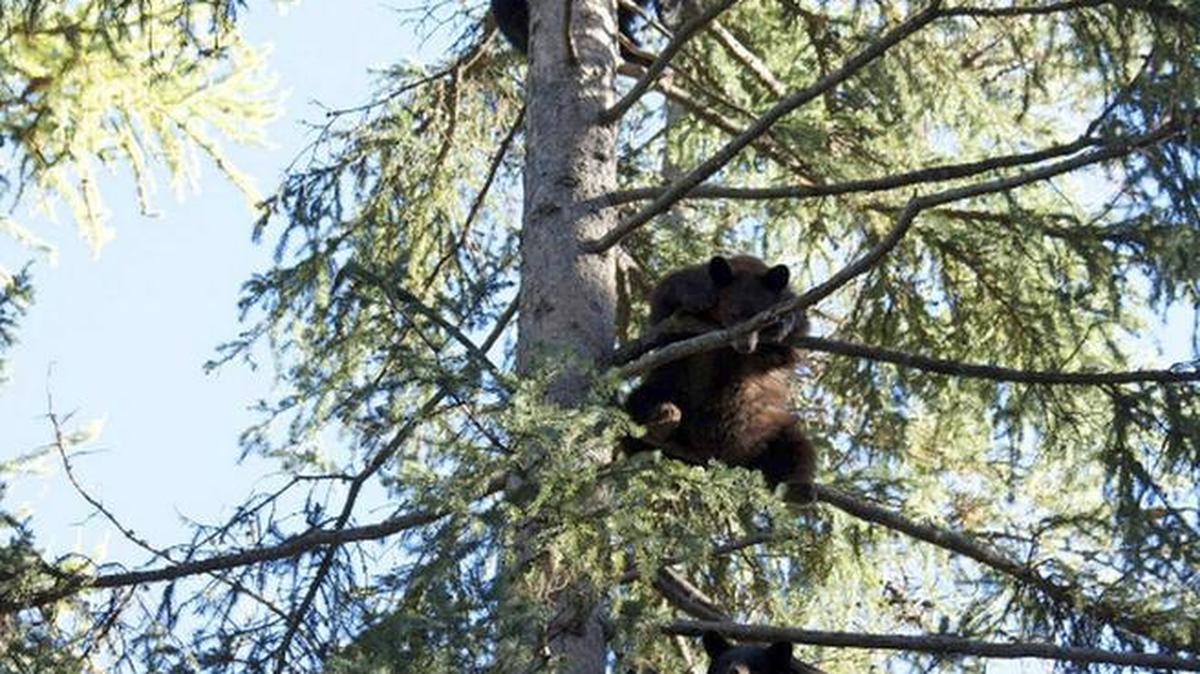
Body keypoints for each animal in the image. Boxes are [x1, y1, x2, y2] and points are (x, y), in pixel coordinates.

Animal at [623, 255, 816, 503]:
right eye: (733, 313)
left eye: (760, 318)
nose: (745, 346)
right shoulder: (679, 314)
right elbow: (664, 303)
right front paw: (696, 297)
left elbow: (793, 342)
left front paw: (783, 323)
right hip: (670, 388)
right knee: (639, 404)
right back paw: (662, 418)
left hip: (767, 427)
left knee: (795, 446)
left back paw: (798, 489)